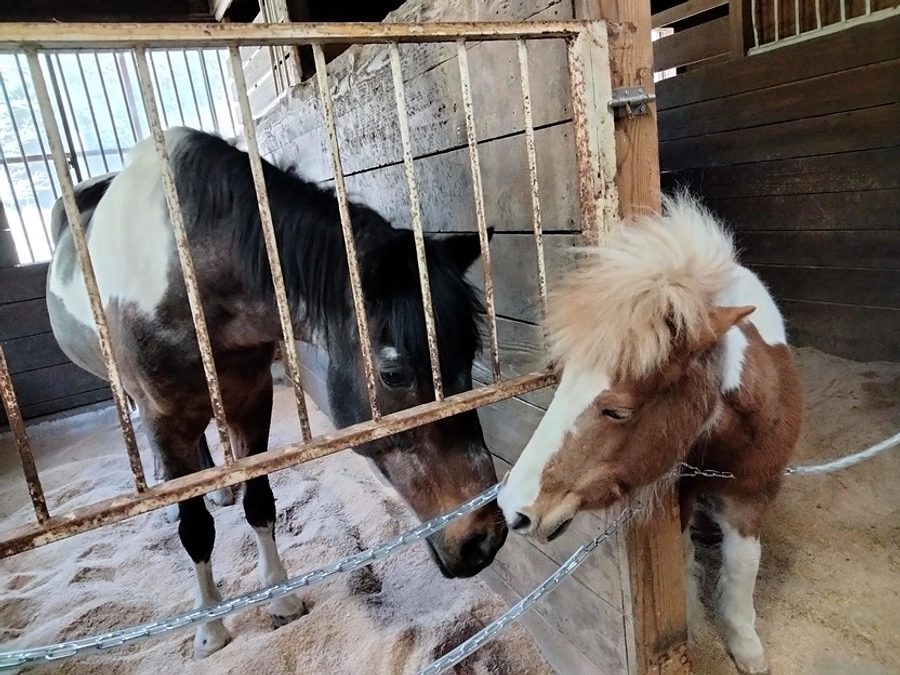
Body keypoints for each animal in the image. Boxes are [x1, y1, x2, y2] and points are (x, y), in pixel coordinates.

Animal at [46, 126, 507, 658]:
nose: (484, 540)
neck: (187, 276)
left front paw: (280, 598)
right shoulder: (164, 417)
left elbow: (260, 503)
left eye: (468, 356)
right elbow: (195, 530)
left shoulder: (252, 398)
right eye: (393, 374)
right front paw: (210, 629)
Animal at [497, 194, 803, 675]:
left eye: (618, 411)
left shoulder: (754, 494)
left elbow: (742, 568)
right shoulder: (679, 497)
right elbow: (684, 560)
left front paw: (747, 648)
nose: (512, 507)